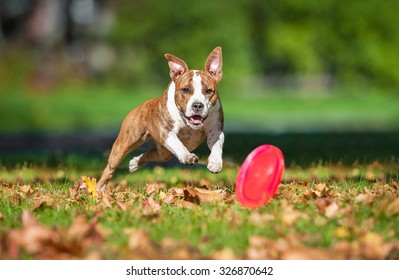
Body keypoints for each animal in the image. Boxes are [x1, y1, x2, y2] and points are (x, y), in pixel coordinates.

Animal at [95, 47, 223, 190]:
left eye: (208, 91)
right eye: (185, 89)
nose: (197, 105)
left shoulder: (216, 130)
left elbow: (217, 145)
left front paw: (215, 162)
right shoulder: (166, 132)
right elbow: (177, 144)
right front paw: (187, 156)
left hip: (164, 153)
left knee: (149, 154)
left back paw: (134, 163)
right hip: (123, 144)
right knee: (110, 168)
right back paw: (99, 188)